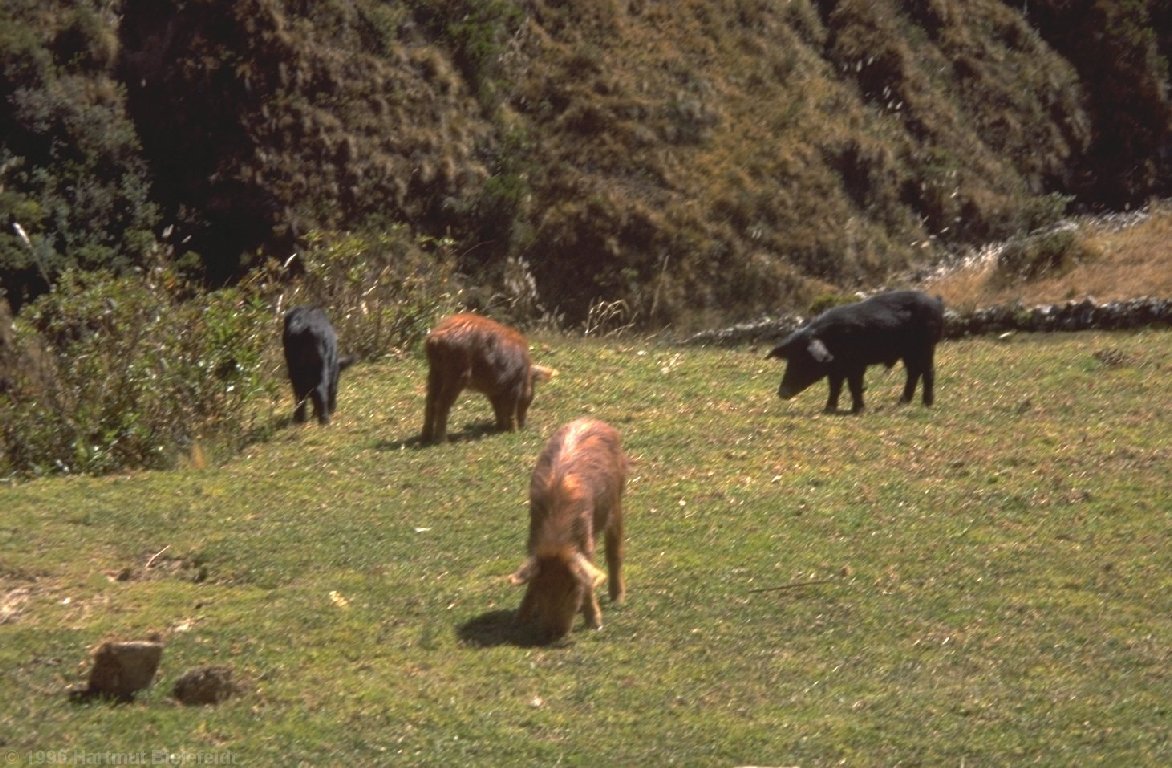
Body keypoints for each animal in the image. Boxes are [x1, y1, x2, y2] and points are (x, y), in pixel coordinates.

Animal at [421, 311, 553, 445]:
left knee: (430, 401)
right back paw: (443, 441)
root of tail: (435, 338)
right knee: (441, 404)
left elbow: (497, 407)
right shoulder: (513, 385)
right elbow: (510, 408)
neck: (525, 373)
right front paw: (513, 431)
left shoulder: (494, 389)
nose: (524, 426)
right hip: (457, 372)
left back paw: (426, 438)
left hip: (435, 370)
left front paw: (500, 428)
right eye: (530, 398)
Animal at [508, 417, 628, 637]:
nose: (554, 633)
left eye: (573, 588)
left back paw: (618, 599)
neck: (556, 541)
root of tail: (592, 420)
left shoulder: (586, 540)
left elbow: (588, 576)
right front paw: (518, 622)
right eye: (540, 587)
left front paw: (595, 624)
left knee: (614, 551)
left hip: (616, 503)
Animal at [768, 291, 942, 415]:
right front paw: (828, 409)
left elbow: (854, 385)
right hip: (909, 352)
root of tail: (936, 302)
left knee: (928, 372)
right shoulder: (835, 369)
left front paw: (858, 410)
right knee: (914, 372)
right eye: (790, 360)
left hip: (926, 346)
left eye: (803, 361)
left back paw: (926, 404)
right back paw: (902, 402)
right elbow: (834, 387)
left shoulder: (856, 365)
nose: (782, 392)